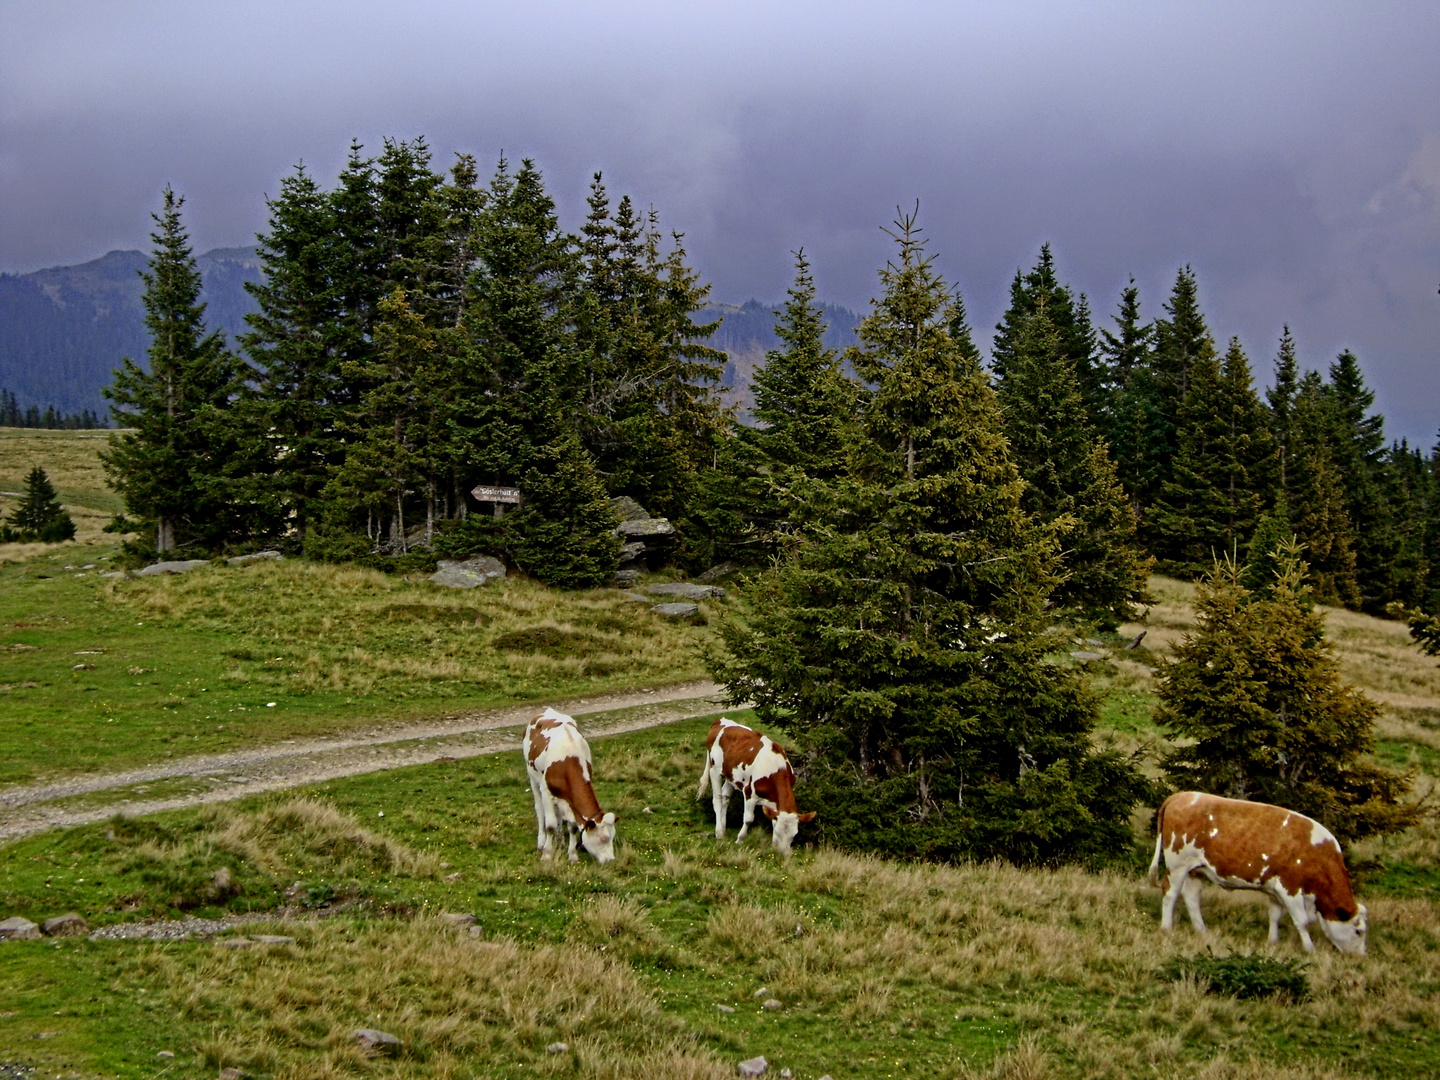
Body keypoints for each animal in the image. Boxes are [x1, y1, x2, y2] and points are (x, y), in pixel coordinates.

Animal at [529, 705, 619, 869]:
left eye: (613, 837)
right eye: (603, 839)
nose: (611, 860)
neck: (568, 761)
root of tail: (547, 711)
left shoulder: (571, 800)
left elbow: (572, 826)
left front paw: (572, 855)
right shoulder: (546, 792)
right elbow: (550, 825)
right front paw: (547, 854)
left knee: (558, 814)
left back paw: (560, 840)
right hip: (533, 779)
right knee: (539, 810)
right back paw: (541, 842)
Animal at [694, 722, 812, 858]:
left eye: (794, 835)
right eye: (778, 832)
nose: (784, 854)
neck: (776, 769)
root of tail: (720, 721)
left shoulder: (774, 802)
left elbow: (772, 819)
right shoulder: (750, 793)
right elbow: (749, 819)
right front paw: (740, 839)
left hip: (732, 776)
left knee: (725, 797)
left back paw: (723, 828)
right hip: (715, 770)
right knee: (717, 800)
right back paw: (719, 832)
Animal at [1146, 789, 1370, 961]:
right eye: (1359, 931)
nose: (1360, 957)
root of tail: (1181, 795)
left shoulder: (1275, 889)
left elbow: (1275, 915)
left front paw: (1273, 941)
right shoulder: (1290, 887)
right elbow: (1302, 921)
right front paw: (1309, 949)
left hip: (1196, 869)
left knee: (1191, 897)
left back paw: (1202, 930)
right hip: (1177, 864)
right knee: (1171, 893)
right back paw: (1167, 928)